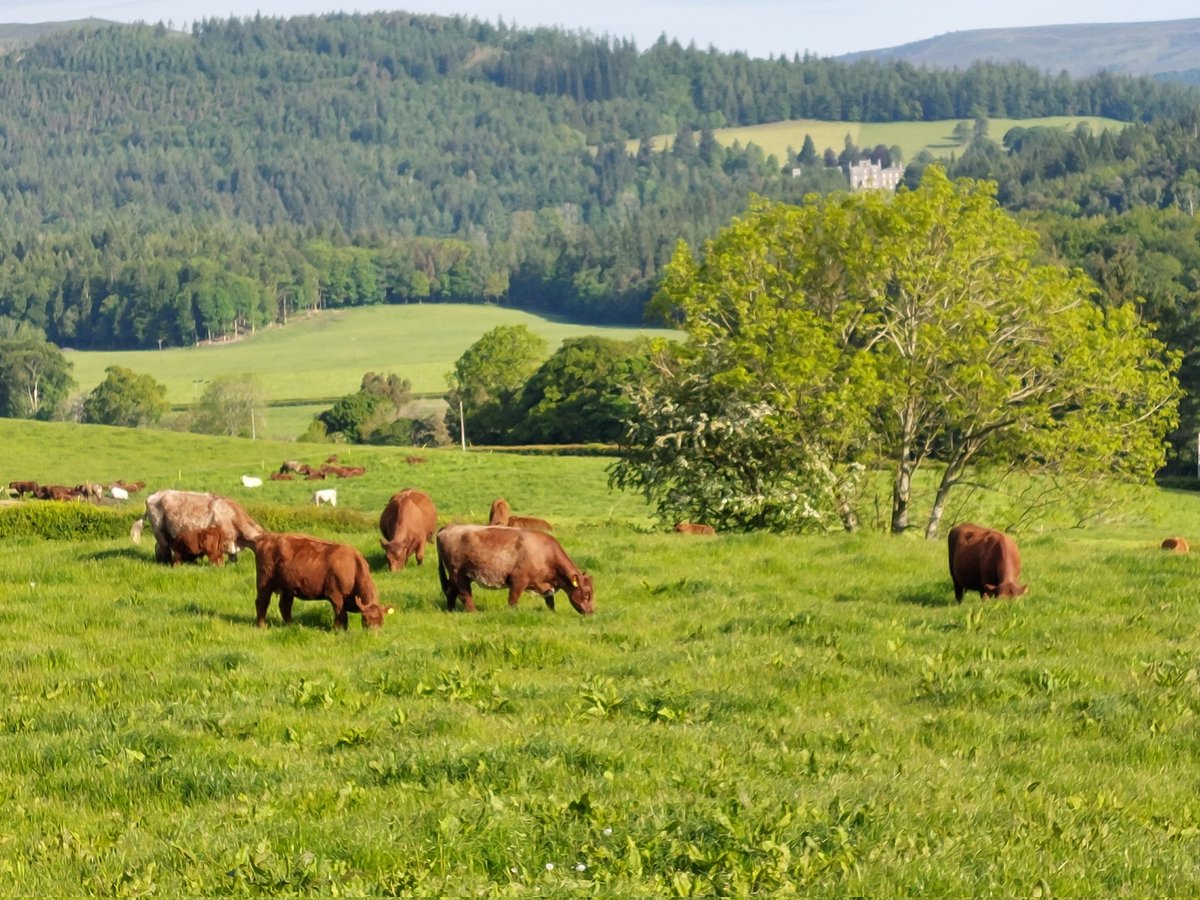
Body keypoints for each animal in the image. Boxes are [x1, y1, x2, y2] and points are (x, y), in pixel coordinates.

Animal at [131, 489, 263, 564]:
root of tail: (153, 495)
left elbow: (233, 557)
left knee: (158, 546)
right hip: (159, 528)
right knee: (164, 547)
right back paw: (166, 562)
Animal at [250, 532, 391, 629]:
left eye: (382, 622)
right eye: (366, 620)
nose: (372, 636)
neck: (353, 567)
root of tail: (266, 539)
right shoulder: (335, 595)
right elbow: (342, 615)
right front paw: (339, 630)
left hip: (287, 588)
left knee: (285, 606)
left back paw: (291, 625)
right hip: (264, 583)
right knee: (262, 602)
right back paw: (262, 626)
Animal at [436, 524, 594, 615]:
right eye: (587, 594)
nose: (591, 612)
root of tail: (448, 528)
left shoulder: (546, 585)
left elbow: (550, 602)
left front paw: (553, 613)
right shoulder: (518, 580)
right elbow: (513, 600)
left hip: (457, 576)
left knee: (451, 591)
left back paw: (451, 610)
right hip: (458, 573)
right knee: (465, 594)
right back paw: (473, 612)